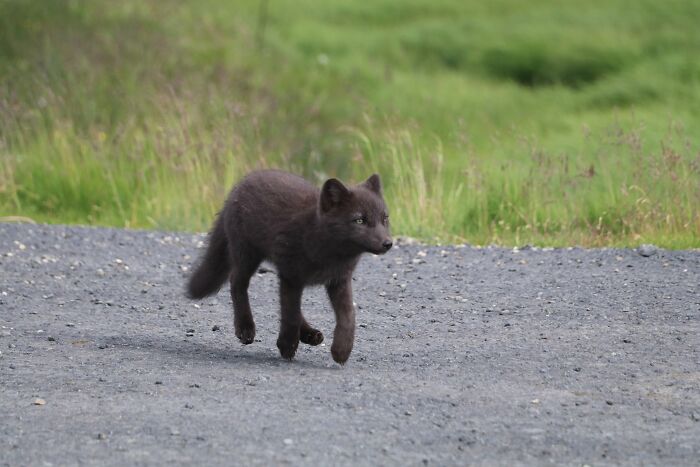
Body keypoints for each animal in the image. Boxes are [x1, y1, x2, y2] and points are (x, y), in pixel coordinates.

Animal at [186, 170, 392, 364]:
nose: (388, 243)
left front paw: (341, 351)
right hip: (247, 255)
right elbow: (290, 314)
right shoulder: (290, 276)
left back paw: (310, 335)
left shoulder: (339, 280)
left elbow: (348, 316)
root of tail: (239, 185)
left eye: (384, 219)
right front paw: (287, 346)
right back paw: (246, 328)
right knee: (237, 282)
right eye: (359, 220)